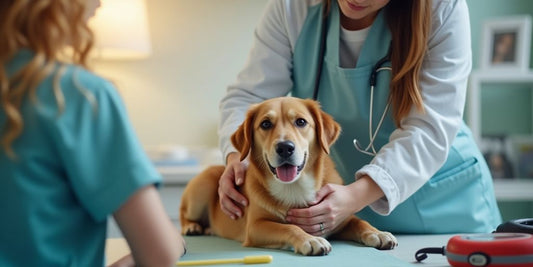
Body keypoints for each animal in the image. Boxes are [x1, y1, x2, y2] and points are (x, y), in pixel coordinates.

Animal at [181, 97, 396, 256]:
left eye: (301, 121)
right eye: (265, 124)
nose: (285, 147)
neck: (295, 187)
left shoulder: (341, 217)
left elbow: (360, 221)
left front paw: (378, 233)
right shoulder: (256, 227)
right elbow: (288, 228)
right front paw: (310, 239)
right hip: (203, 185)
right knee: (184, 214)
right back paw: (192, 227)